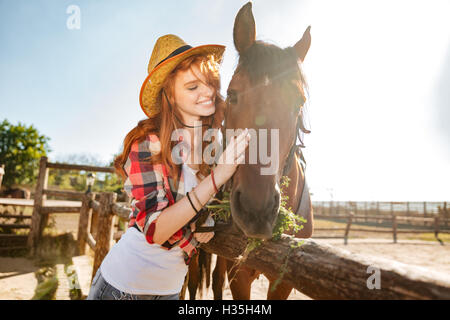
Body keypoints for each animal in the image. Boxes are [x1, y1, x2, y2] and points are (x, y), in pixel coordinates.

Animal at [185, 1, 312, 300]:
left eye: (299, 102)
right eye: (232, 95)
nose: (257, 210)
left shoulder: (284, 281)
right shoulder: (239, 273)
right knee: (193, 281)